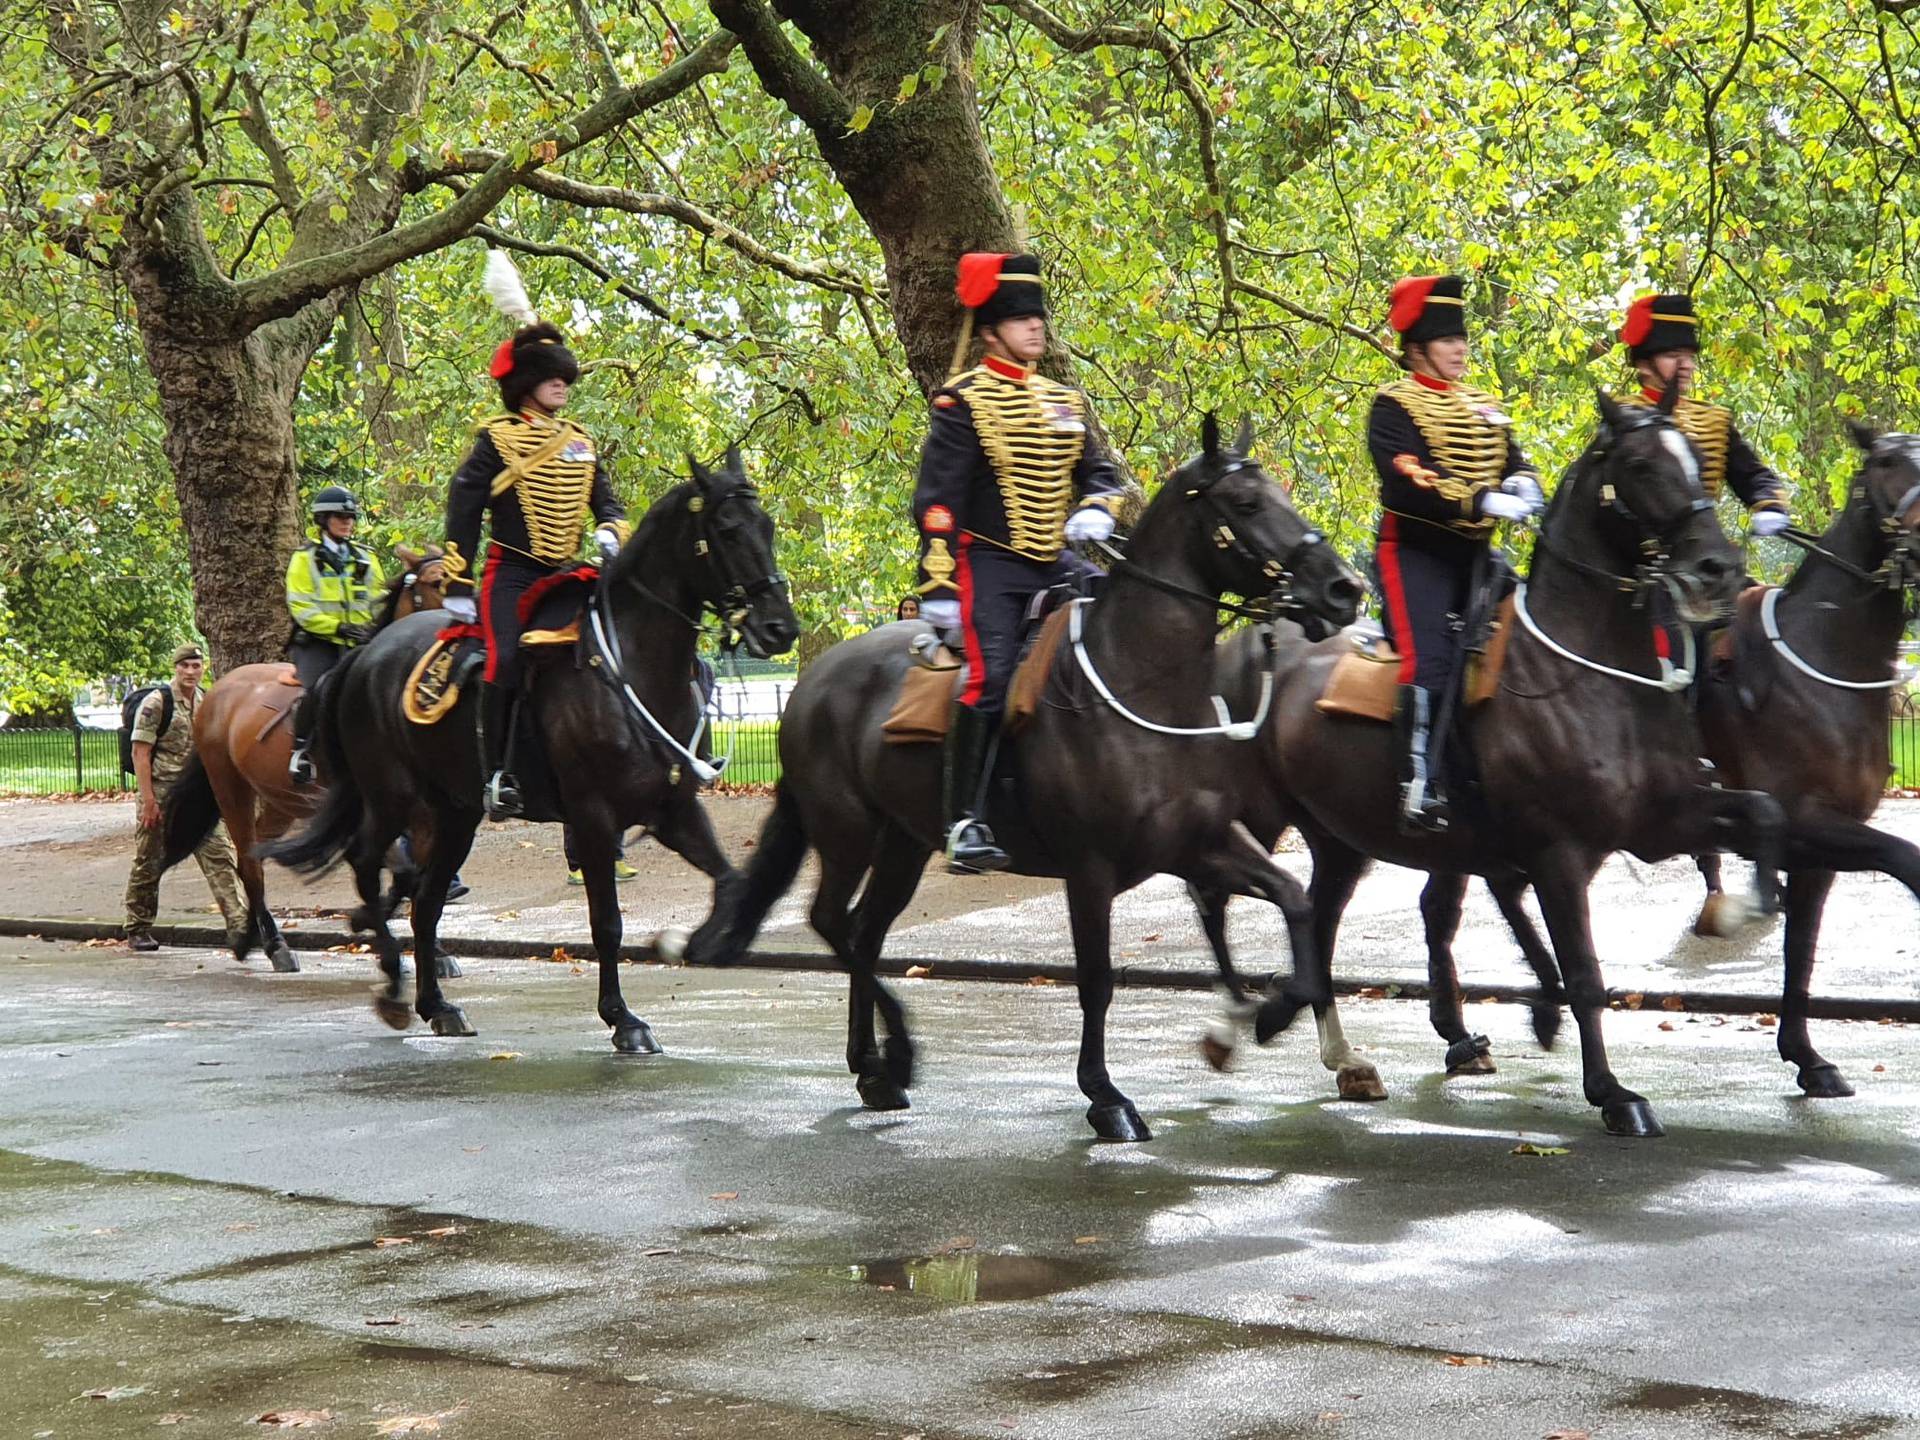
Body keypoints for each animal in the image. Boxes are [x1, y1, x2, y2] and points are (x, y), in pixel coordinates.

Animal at [158, 545, 445, 975]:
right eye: (437, 581)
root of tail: (217, 692)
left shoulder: (422, 812)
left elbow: (419, 877)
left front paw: (434, 952)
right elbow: (398, 869)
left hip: (281, 801)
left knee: (257, 851)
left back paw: (249, 937)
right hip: (230, 788)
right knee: (249, 862)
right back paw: (273, 944)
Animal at [264, 451, 794, 1052]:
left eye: (767, 527)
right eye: (727, 530)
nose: (780, 627)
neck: (631, 663)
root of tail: (366, 653)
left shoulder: (672, 808)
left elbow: (730, 881)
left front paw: (698, 944)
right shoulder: (593, 817)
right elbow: (607, 924)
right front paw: (622, 1018)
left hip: (453, 813)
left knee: (425, 900)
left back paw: (436, 1005)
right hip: (391, 797)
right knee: (366, 862)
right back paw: (394, 987)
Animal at [691, 414, 1367, 1136]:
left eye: (1281, 493)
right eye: (1245, 504)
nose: (1344, 589)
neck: (1138, 685)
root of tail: (814, 679)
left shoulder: (1201, 843)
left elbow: (1295, 900)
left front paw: (1273, 1011)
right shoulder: (1090, 869)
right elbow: (1097, 979)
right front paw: (1106, 1096)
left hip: (903, 843)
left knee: (864, 933)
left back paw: (875, 1068)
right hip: (847, 834)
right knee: (831, 922)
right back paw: (893, 1054)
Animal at [1190, 391, 1789, 1136]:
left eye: (1690, 451)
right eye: (1642, 465)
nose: (1718, 567)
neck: (1588, 671)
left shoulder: (1657, 819)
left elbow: (1761, 811)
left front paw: (1744, 907)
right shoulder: (1559, 850)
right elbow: (1584, 972)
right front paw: (1612, 1092)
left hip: (1337, 836)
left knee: (1319, 916)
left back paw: (1338, 1051)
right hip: (1256, 813)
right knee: (1219, 896)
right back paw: (1238, 1022)